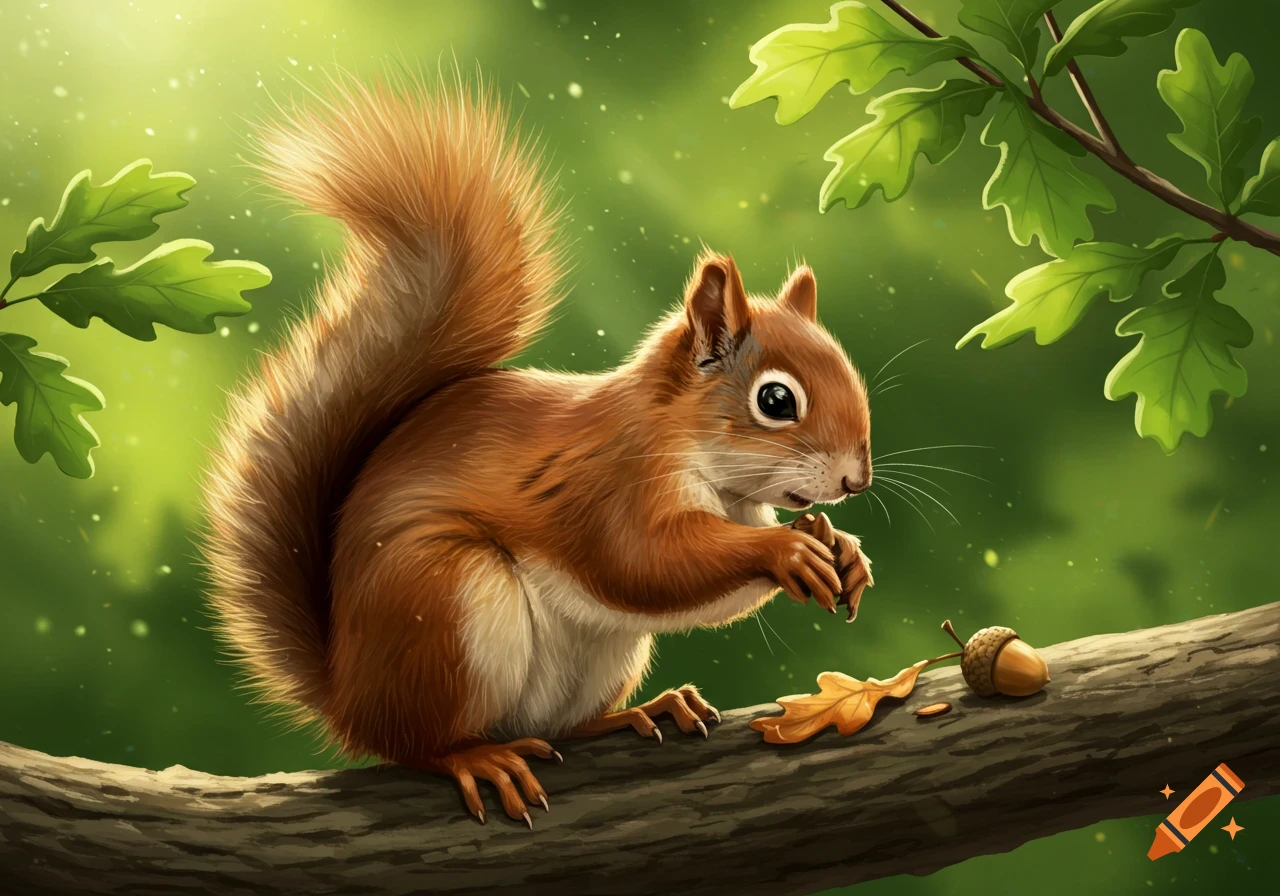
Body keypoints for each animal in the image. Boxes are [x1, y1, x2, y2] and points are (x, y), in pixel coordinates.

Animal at [202, 74, 874, 827]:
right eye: (776, 401)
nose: (857, 479)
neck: (703, 464)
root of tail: (347, 696)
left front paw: (841, 547)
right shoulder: (607, 485)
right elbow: (646, 563)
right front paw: (788, 550)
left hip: (600, 654)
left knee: (561, 727)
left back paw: (645, 710)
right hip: (443, 600)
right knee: (415, 744)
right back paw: (475, 758)